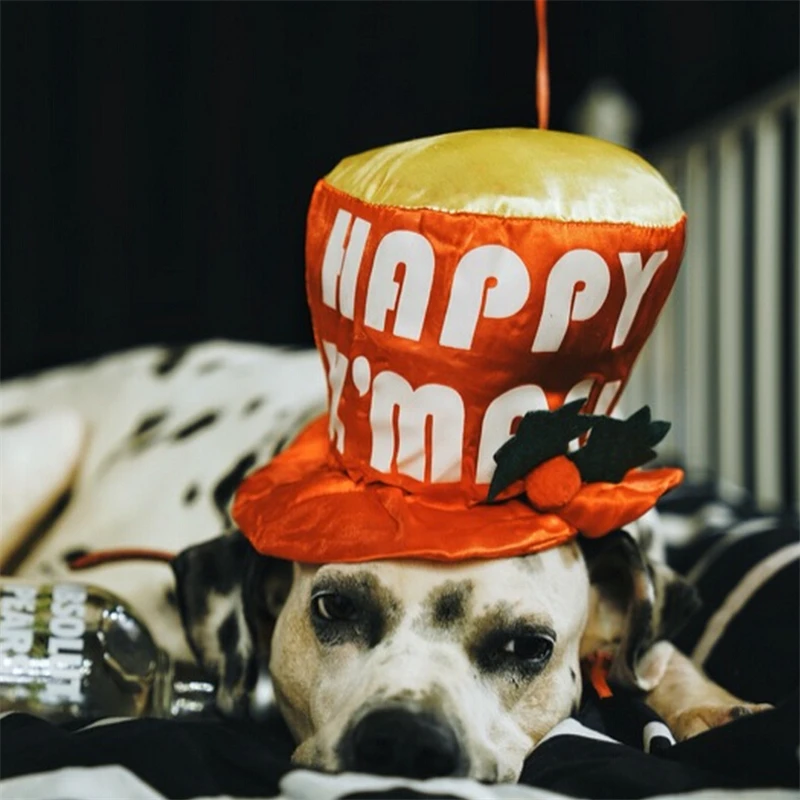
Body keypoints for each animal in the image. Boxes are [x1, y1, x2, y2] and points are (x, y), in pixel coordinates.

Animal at [1, 341, 770, 783]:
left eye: (529, 647)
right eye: (335, 607)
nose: (403, 743)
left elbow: (659, 655)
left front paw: (711, 704)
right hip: (51, 438)